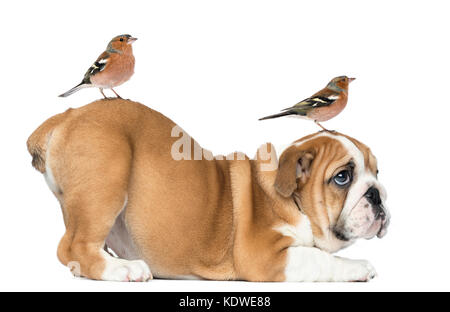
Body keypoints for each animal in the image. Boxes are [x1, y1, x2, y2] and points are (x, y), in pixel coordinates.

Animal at [26, 100, 388, 282]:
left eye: (377, 172)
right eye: (342, 177)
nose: (377, 194)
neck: (294, 201)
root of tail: (66, 116)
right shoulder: (266, 258)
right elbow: (319, 258)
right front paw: (359, 266)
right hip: (106, 180)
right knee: (73, 246)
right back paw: (122, 269)